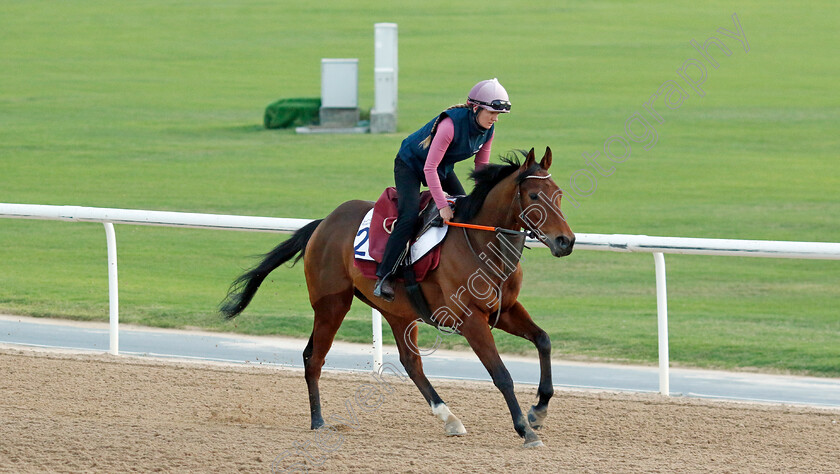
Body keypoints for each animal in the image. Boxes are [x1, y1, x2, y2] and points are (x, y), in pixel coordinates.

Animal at [220, 148, 576, 448]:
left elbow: (543, 340)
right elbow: (501, 374)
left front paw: (538, 410)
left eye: (558, 195)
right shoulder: (470, 319)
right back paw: (318, 421)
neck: (482, 245)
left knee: (411, 363)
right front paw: (525, 430)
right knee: (313, 356)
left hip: (398, 312)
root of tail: (324, 223)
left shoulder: (505, 309)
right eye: (534, 195)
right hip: (332, 304)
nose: (566, 241)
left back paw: (449, 418)